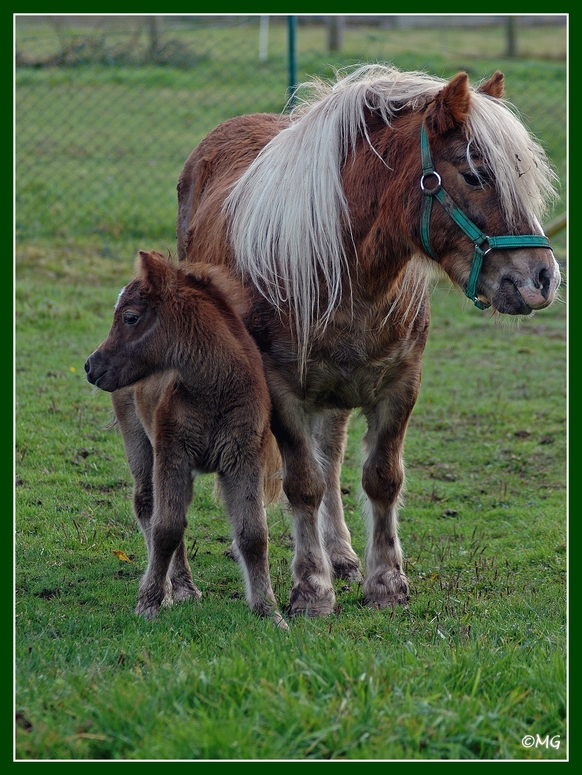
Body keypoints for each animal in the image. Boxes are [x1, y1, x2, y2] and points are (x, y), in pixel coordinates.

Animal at [84, 252, 288, 628]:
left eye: (130, 317)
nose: (91, 367)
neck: (215, 391)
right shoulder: (172, 453)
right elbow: (165, 528)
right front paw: (149, 602)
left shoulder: (243, 459)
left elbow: (253, 534)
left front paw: (269, 611)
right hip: (141, 443)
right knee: (149, 505)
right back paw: (171, 588)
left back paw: (184, 587)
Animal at [176, 65, 564, 620]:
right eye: (475, 174)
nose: (543, 278)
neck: (345, 270)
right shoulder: (281, 390)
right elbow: (303, 484)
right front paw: (311, 589)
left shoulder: (400, 384)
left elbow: (380, 478)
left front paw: (385, 582)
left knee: (332, 454)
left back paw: (341, 554)